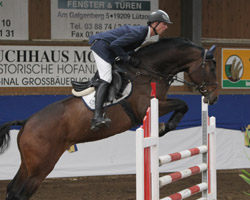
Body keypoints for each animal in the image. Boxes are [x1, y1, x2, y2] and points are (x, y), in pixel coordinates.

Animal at [0, 37, 218, 200]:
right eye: (211, 68)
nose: (214, 97)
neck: (147, 71)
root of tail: (26, 123)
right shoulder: (147, 107)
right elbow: (183, 104)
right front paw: (164, 127)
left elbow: (183, 104)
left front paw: (165, 126)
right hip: (41, 165)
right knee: (20, 193)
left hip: (28, 164)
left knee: (13, 189)